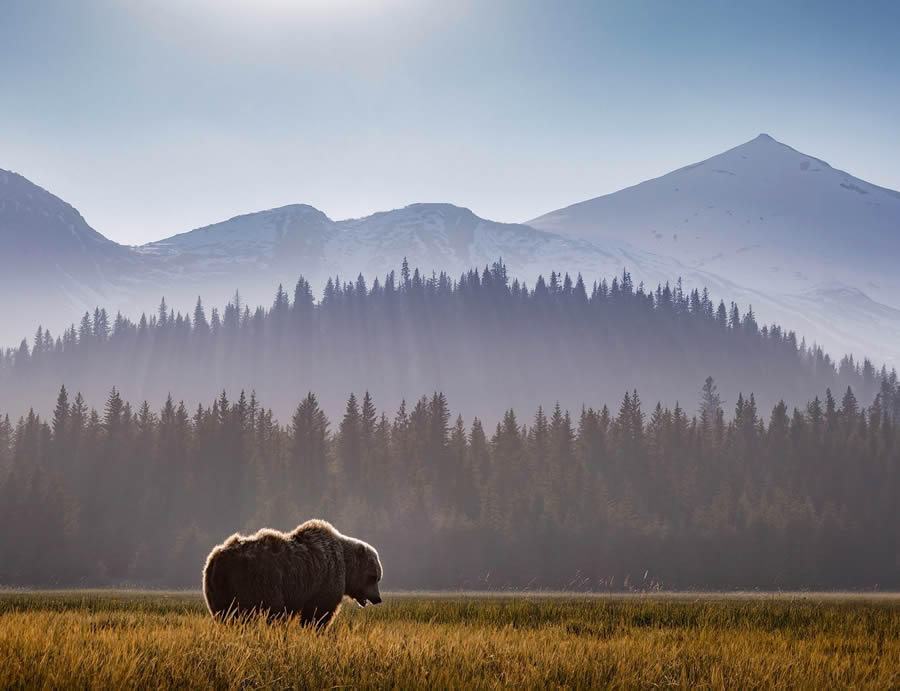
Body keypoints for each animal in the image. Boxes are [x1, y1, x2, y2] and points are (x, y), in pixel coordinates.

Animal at [202, 520, 382, 628]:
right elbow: (319, 611)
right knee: (266, 612)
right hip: (257, 582)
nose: (378, 598)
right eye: (374, 577)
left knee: (225, 615)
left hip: (218, 589)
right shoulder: (327, 579)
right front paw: (316, 629)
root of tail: (217, 559)